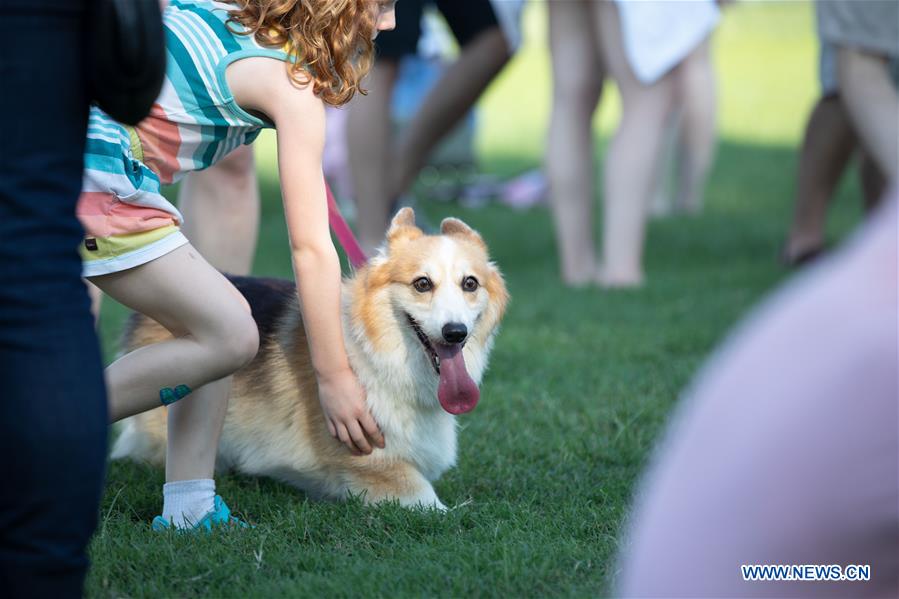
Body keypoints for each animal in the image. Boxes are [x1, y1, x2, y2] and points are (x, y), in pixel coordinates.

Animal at [110, 210, 510, 510]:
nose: (455, 333)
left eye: (470, 284)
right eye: (422, 284)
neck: (382, 358)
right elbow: (438, 507)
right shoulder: (377, 467)